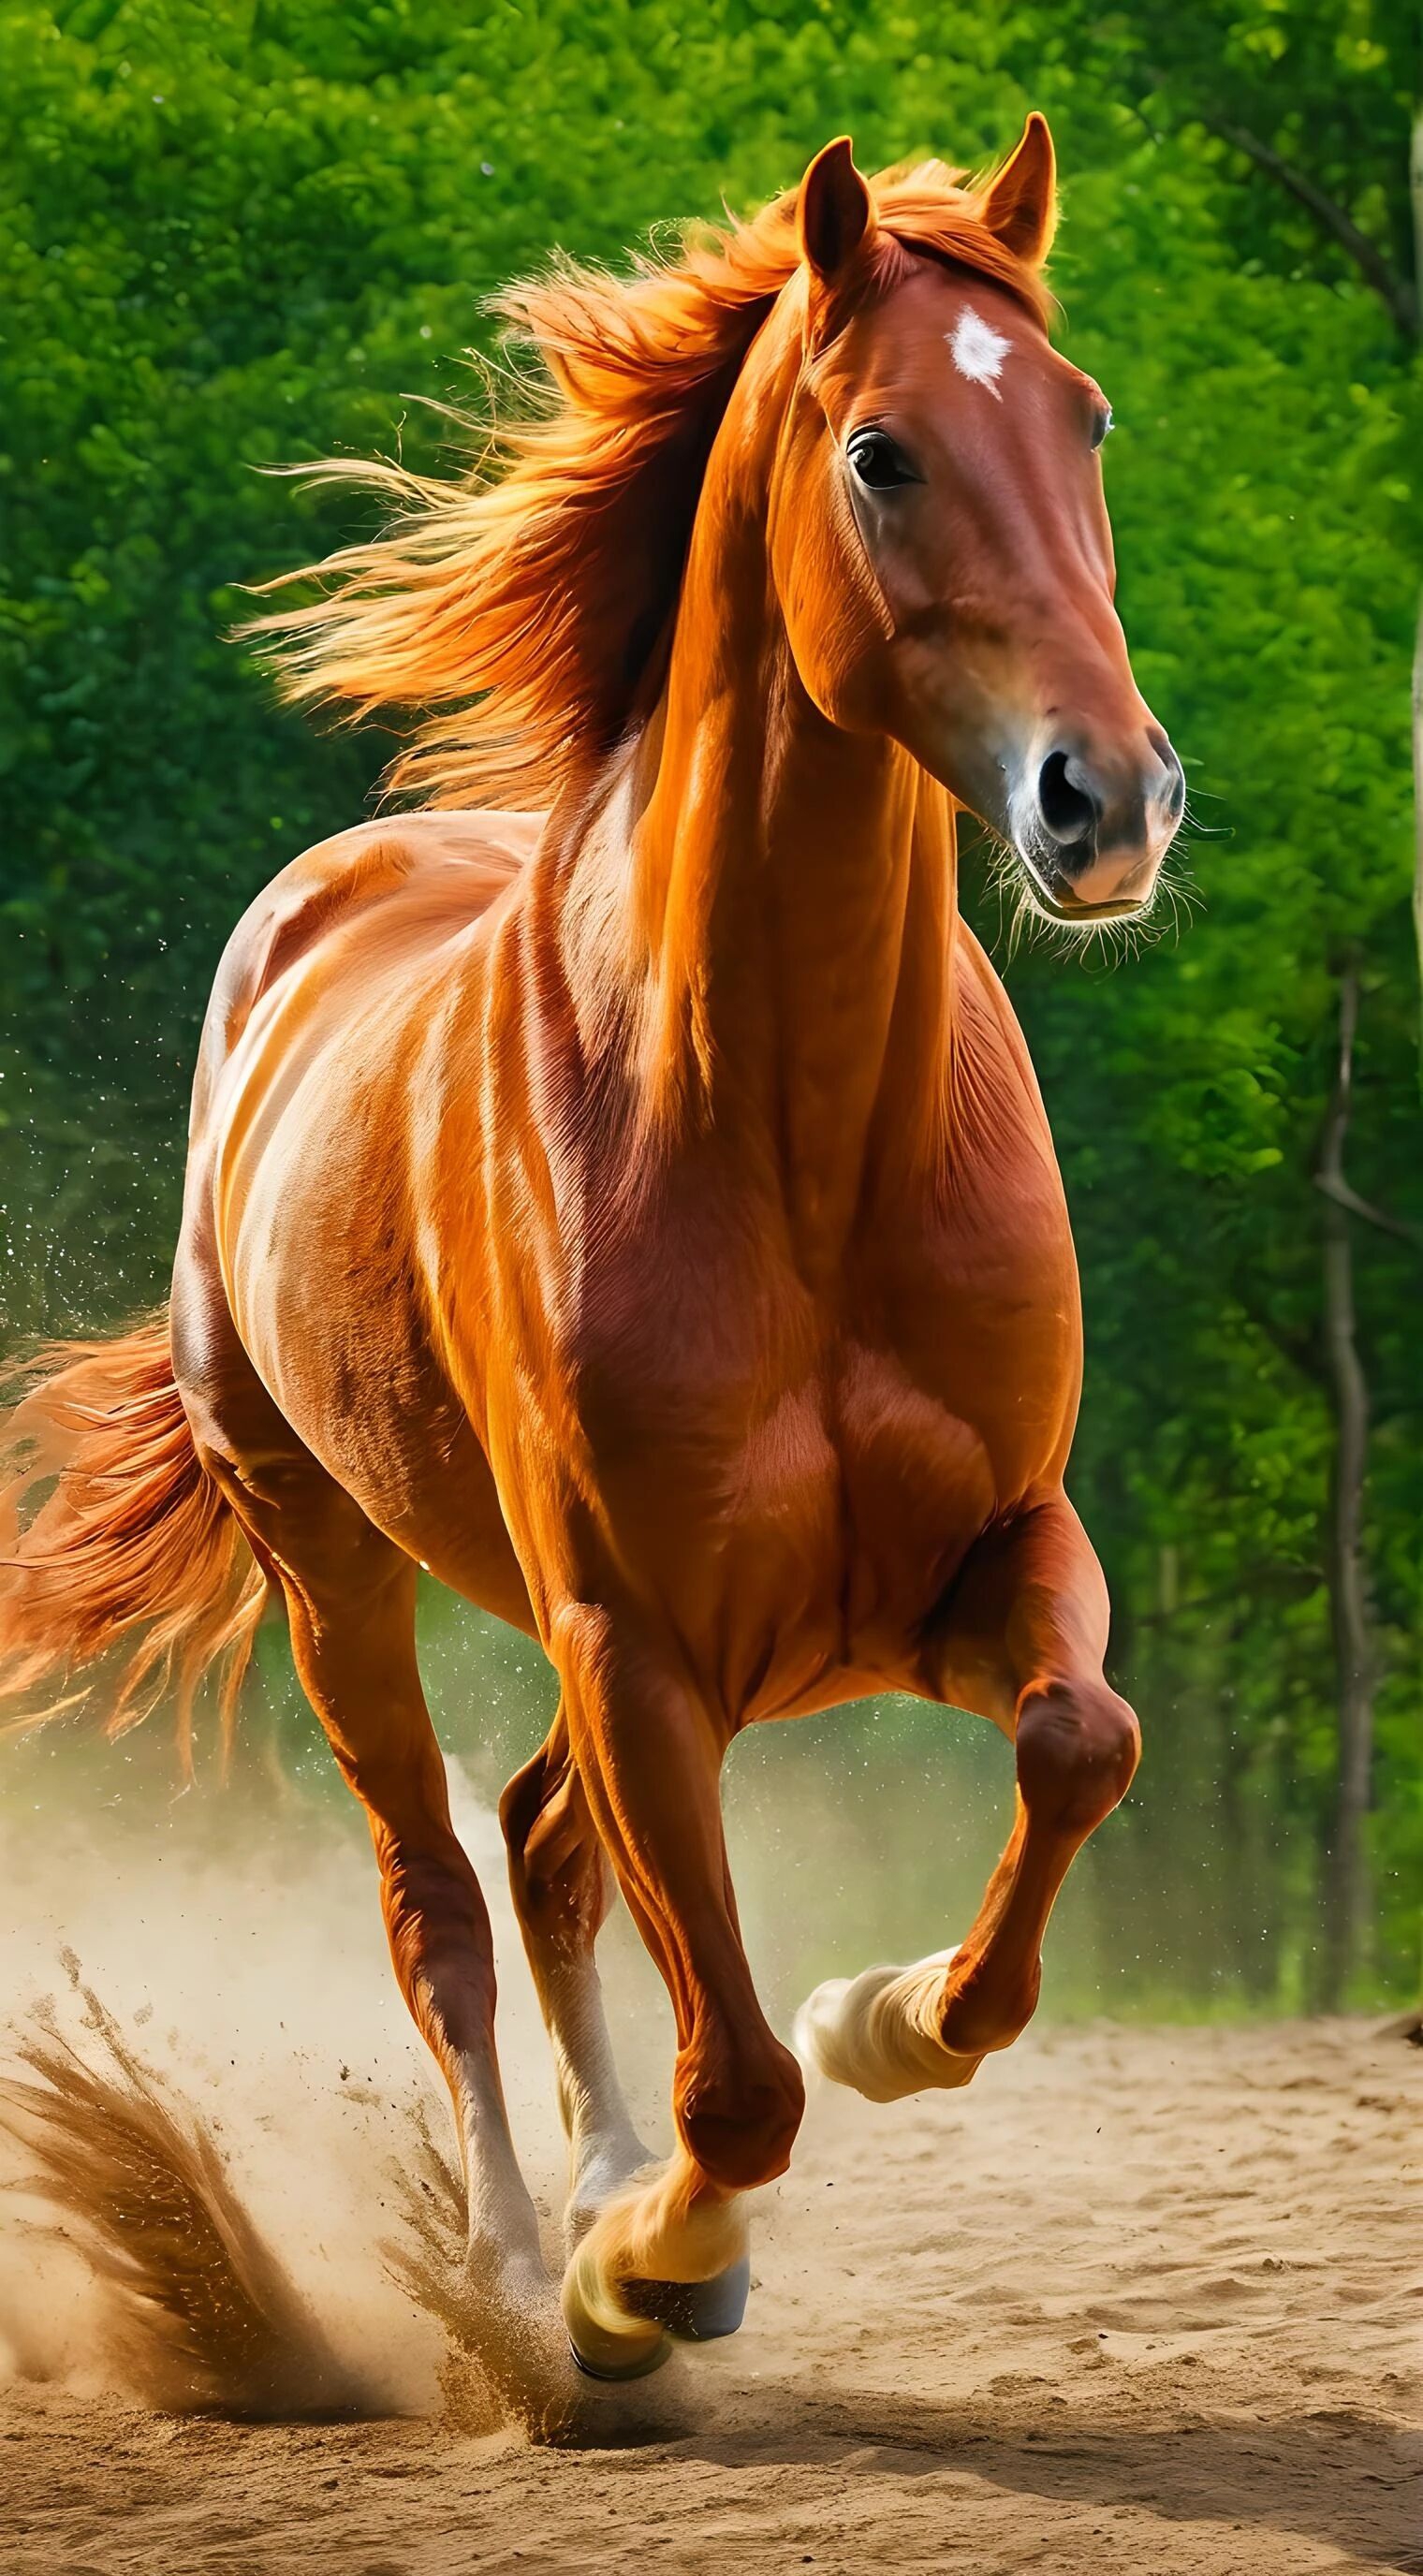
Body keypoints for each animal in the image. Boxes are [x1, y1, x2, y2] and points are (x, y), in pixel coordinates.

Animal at [0, 117, 1183, 2404]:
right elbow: (736, 2076)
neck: (800, 1144)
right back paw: (518, 2252)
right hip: (340, 1575)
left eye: (1086, 420)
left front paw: (879, 2013)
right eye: (884, 451)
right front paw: (638, 2262)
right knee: (445, 1899)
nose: (1111, 802)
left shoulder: (978, 1557)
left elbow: (1077, 1755)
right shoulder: (639, 1637)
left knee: (544, 1854)